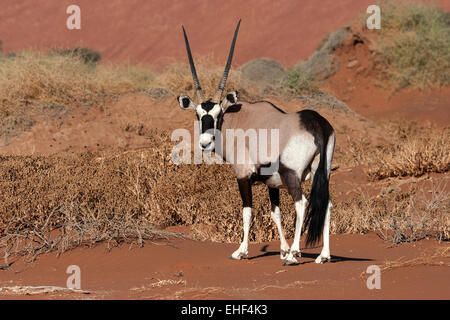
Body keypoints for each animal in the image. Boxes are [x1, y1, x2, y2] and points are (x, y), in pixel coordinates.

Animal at [178, 20, 336, 264]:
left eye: (217, 114)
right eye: (198, 114)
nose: (205, 142)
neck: (238, 120)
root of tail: (317, 124)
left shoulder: (243, 176)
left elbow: (247, 211)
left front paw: (242, 251)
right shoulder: (272, 183)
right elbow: (275, 213)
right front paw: (282, 249)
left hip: (292, 174)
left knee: (301, 203)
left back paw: (294, 255)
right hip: (323, 171)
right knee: (325, 203)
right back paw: (323, 256)